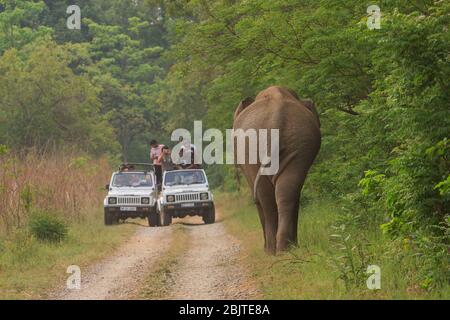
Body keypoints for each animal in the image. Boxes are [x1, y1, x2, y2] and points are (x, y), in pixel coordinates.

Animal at [232, 85, 320, 255]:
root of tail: (276, 119)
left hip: (253, 149)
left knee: (265, 197)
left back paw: (271, 250)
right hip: (300, 144)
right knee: (288, 191)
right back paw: (286, 249)